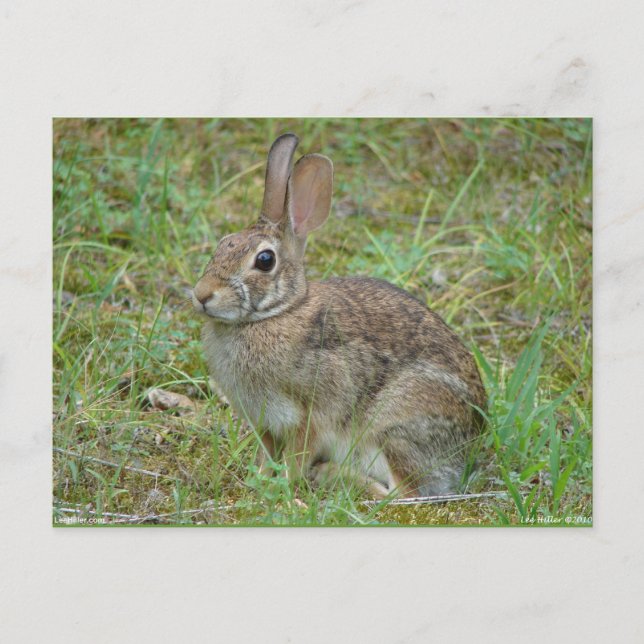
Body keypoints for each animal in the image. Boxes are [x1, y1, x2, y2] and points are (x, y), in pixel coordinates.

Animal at [192, 133, 486, 498]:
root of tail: (469, 449)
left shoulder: (310, 415)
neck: (275, 314)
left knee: (402, 494)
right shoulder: (266, 423)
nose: (202, 294)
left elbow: (296, 457)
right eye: (223, 243)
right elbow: (265, 454)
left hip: (393, 427)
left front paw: (282, 486)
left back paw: (331, 474)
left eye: (264, 260)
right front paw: (255, 479)